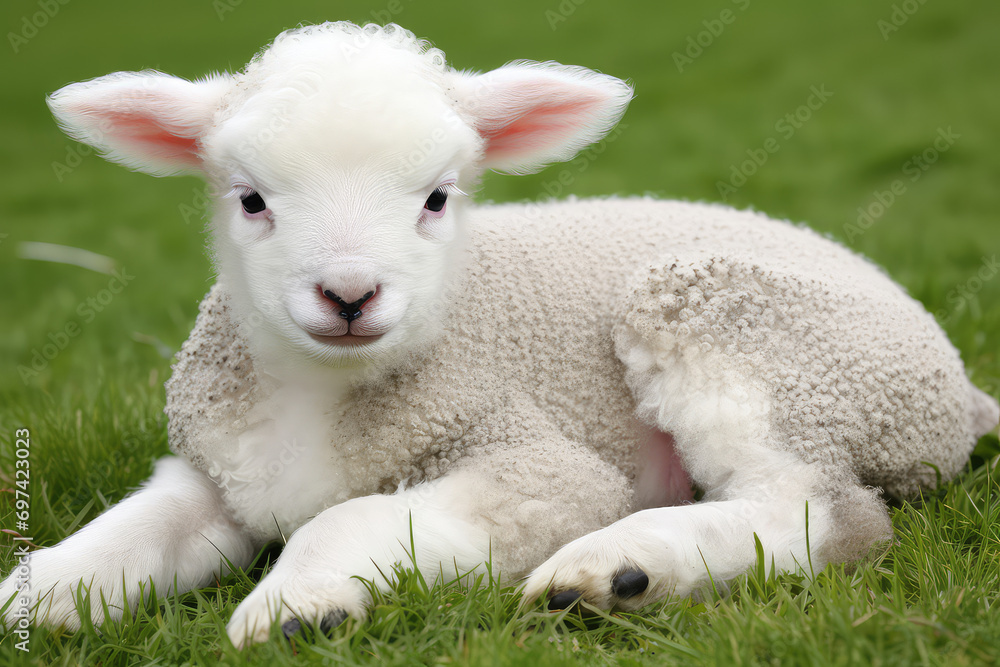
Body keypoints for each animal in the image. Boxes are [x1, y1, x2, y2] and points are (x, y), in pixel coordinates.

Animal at [2, 21, 996, 648]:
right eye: (250, 201)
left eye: (438, 198)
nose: (349, 294)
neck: (323, 393)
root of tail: (961, 387)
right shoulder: (213, 468)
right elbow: (130, 531)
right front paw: (32, 594)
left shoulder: (543, 469)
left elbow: (352, 513)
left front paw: (299, 602)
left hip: (748, 329)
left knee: (826, 509)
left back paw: (620, 569)